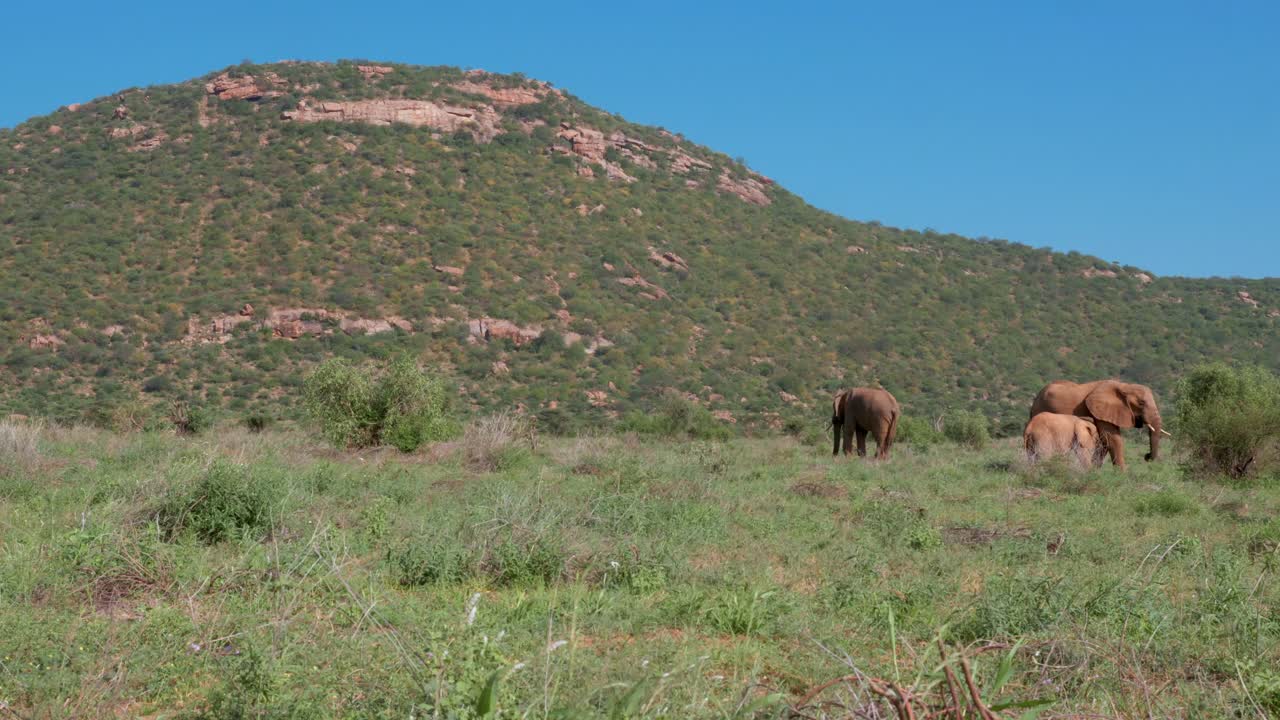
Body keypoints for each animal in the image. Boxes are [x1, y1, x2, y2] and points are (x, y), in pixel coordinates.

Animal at [1030, 379, 1170, 469]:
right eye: (1141, 403)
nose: (1147, 456)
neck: (1124, 386)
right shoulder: (1100, 410)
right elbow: (1113, 439)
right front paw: (1122, 477)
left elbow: (1104, 442)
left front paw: (1096, 472)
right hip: (1039, 407)